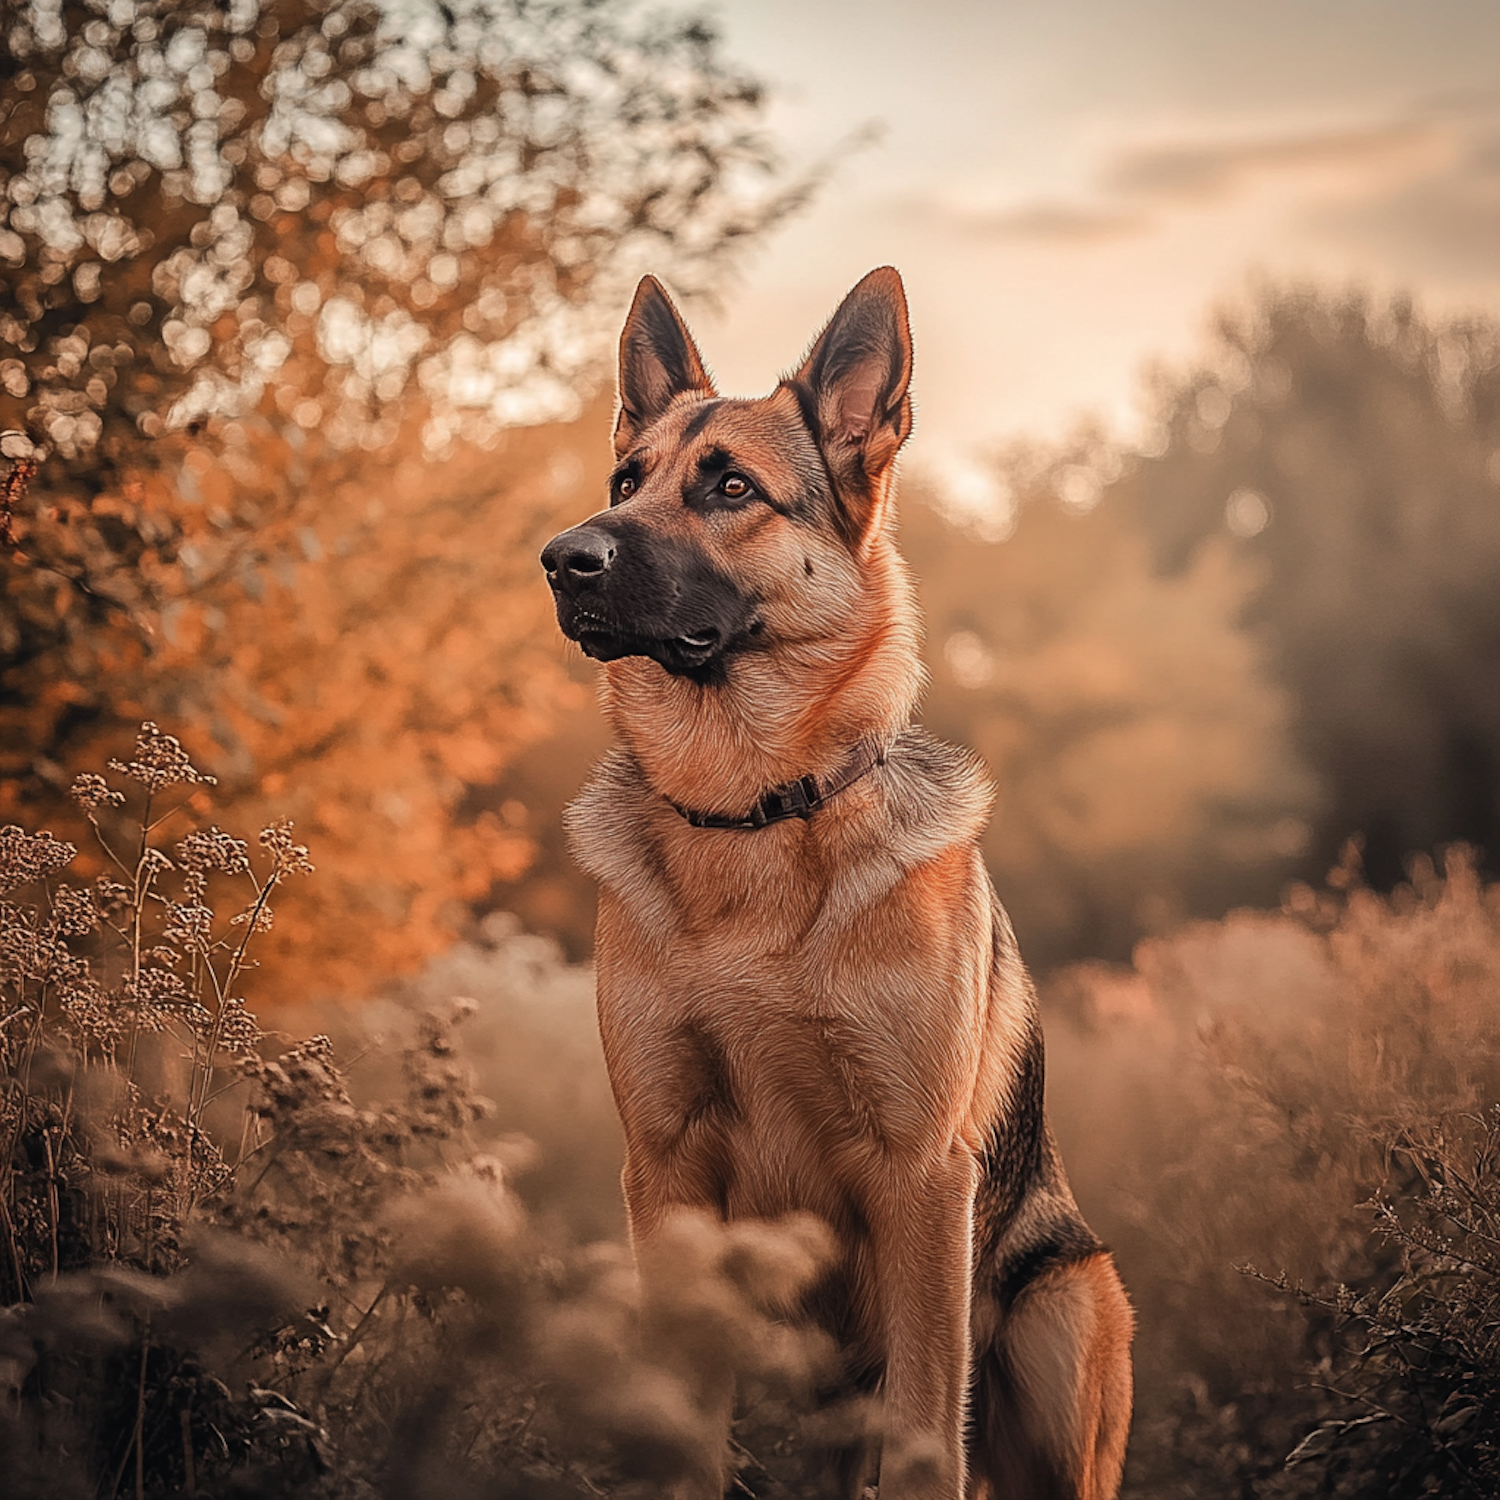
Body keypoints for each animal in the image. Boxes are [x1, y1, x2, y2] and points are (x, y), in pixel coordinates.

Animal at [546, 273, 1128, 1500]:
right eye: (626, 481)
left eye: (731, 486)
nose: (561, 559)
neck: (753, 811)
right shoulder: (666, 1168)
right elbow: (681, 1429)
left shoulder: (920, 1181)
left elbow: (923, 1431)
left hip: (1062, 1315)